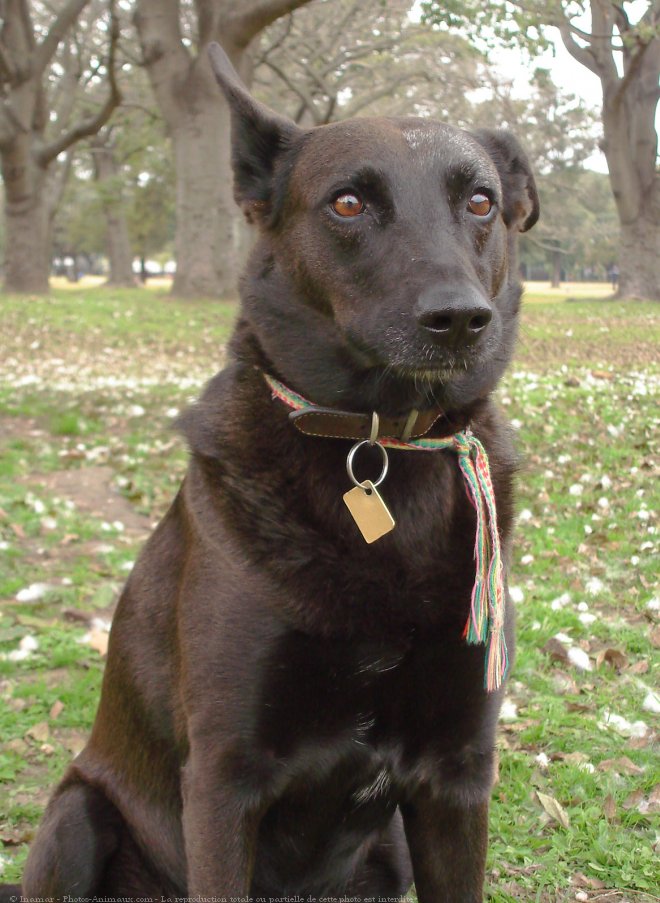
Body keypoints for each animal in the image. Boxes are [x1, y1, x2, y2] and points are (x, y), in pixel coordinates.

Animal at [9, 44, 536, 903]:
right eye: (348, 202)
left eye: (481, 202)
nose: (460, 318)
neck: (379, 443)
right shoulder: (224, 778)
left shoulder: (456, 774)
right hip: (77, 815)